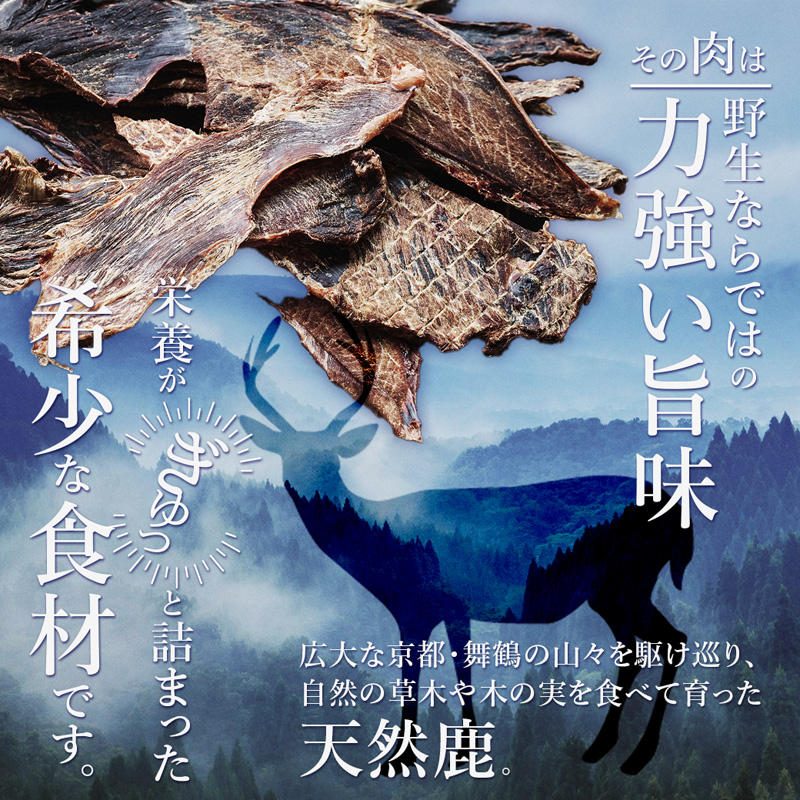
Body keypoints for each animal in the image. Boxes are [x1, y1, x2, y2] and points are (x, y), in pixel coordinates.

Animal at [240, 316, 693, 776]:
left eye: (330, 456)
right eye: (287, 452)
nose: (309, 486)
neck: (384, 549)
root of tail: (680, 517)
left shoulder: (425, 601)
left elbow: (424, 675)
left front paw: (407, 757)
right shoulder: (447, 607)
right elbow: (459, 671)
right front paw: (460, 750)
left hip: (626, 578)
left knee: (651, 646)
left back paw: (629, 752)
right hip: (617, 588)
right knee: (661, 642)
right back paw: (613, 749)